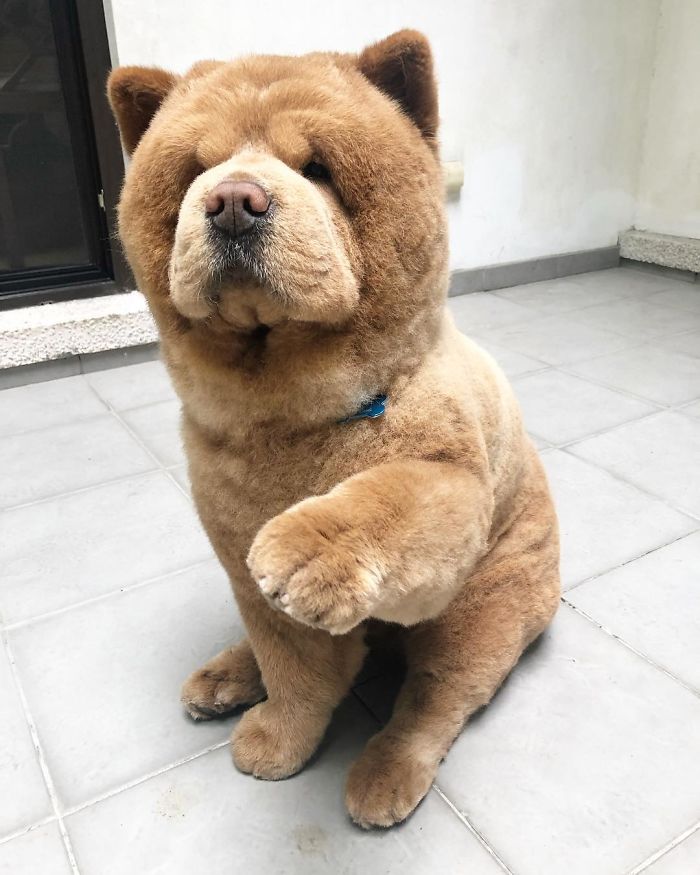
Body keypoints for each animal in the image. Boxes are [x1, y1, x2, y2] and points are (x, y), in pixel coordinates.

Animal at [107, 29, 560, 829]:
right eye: (197, 171)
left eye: (315, 168)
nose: (232, 200)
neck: (286, 414)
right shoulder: (238, 554)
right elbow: (294, 668)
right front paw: (280, 737)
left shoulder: (448, 481)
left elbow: (384, 501)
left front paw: (307, 549)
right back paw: (225, 676)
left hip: (486, 602)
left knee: (438, 695)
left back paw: (385, 772)